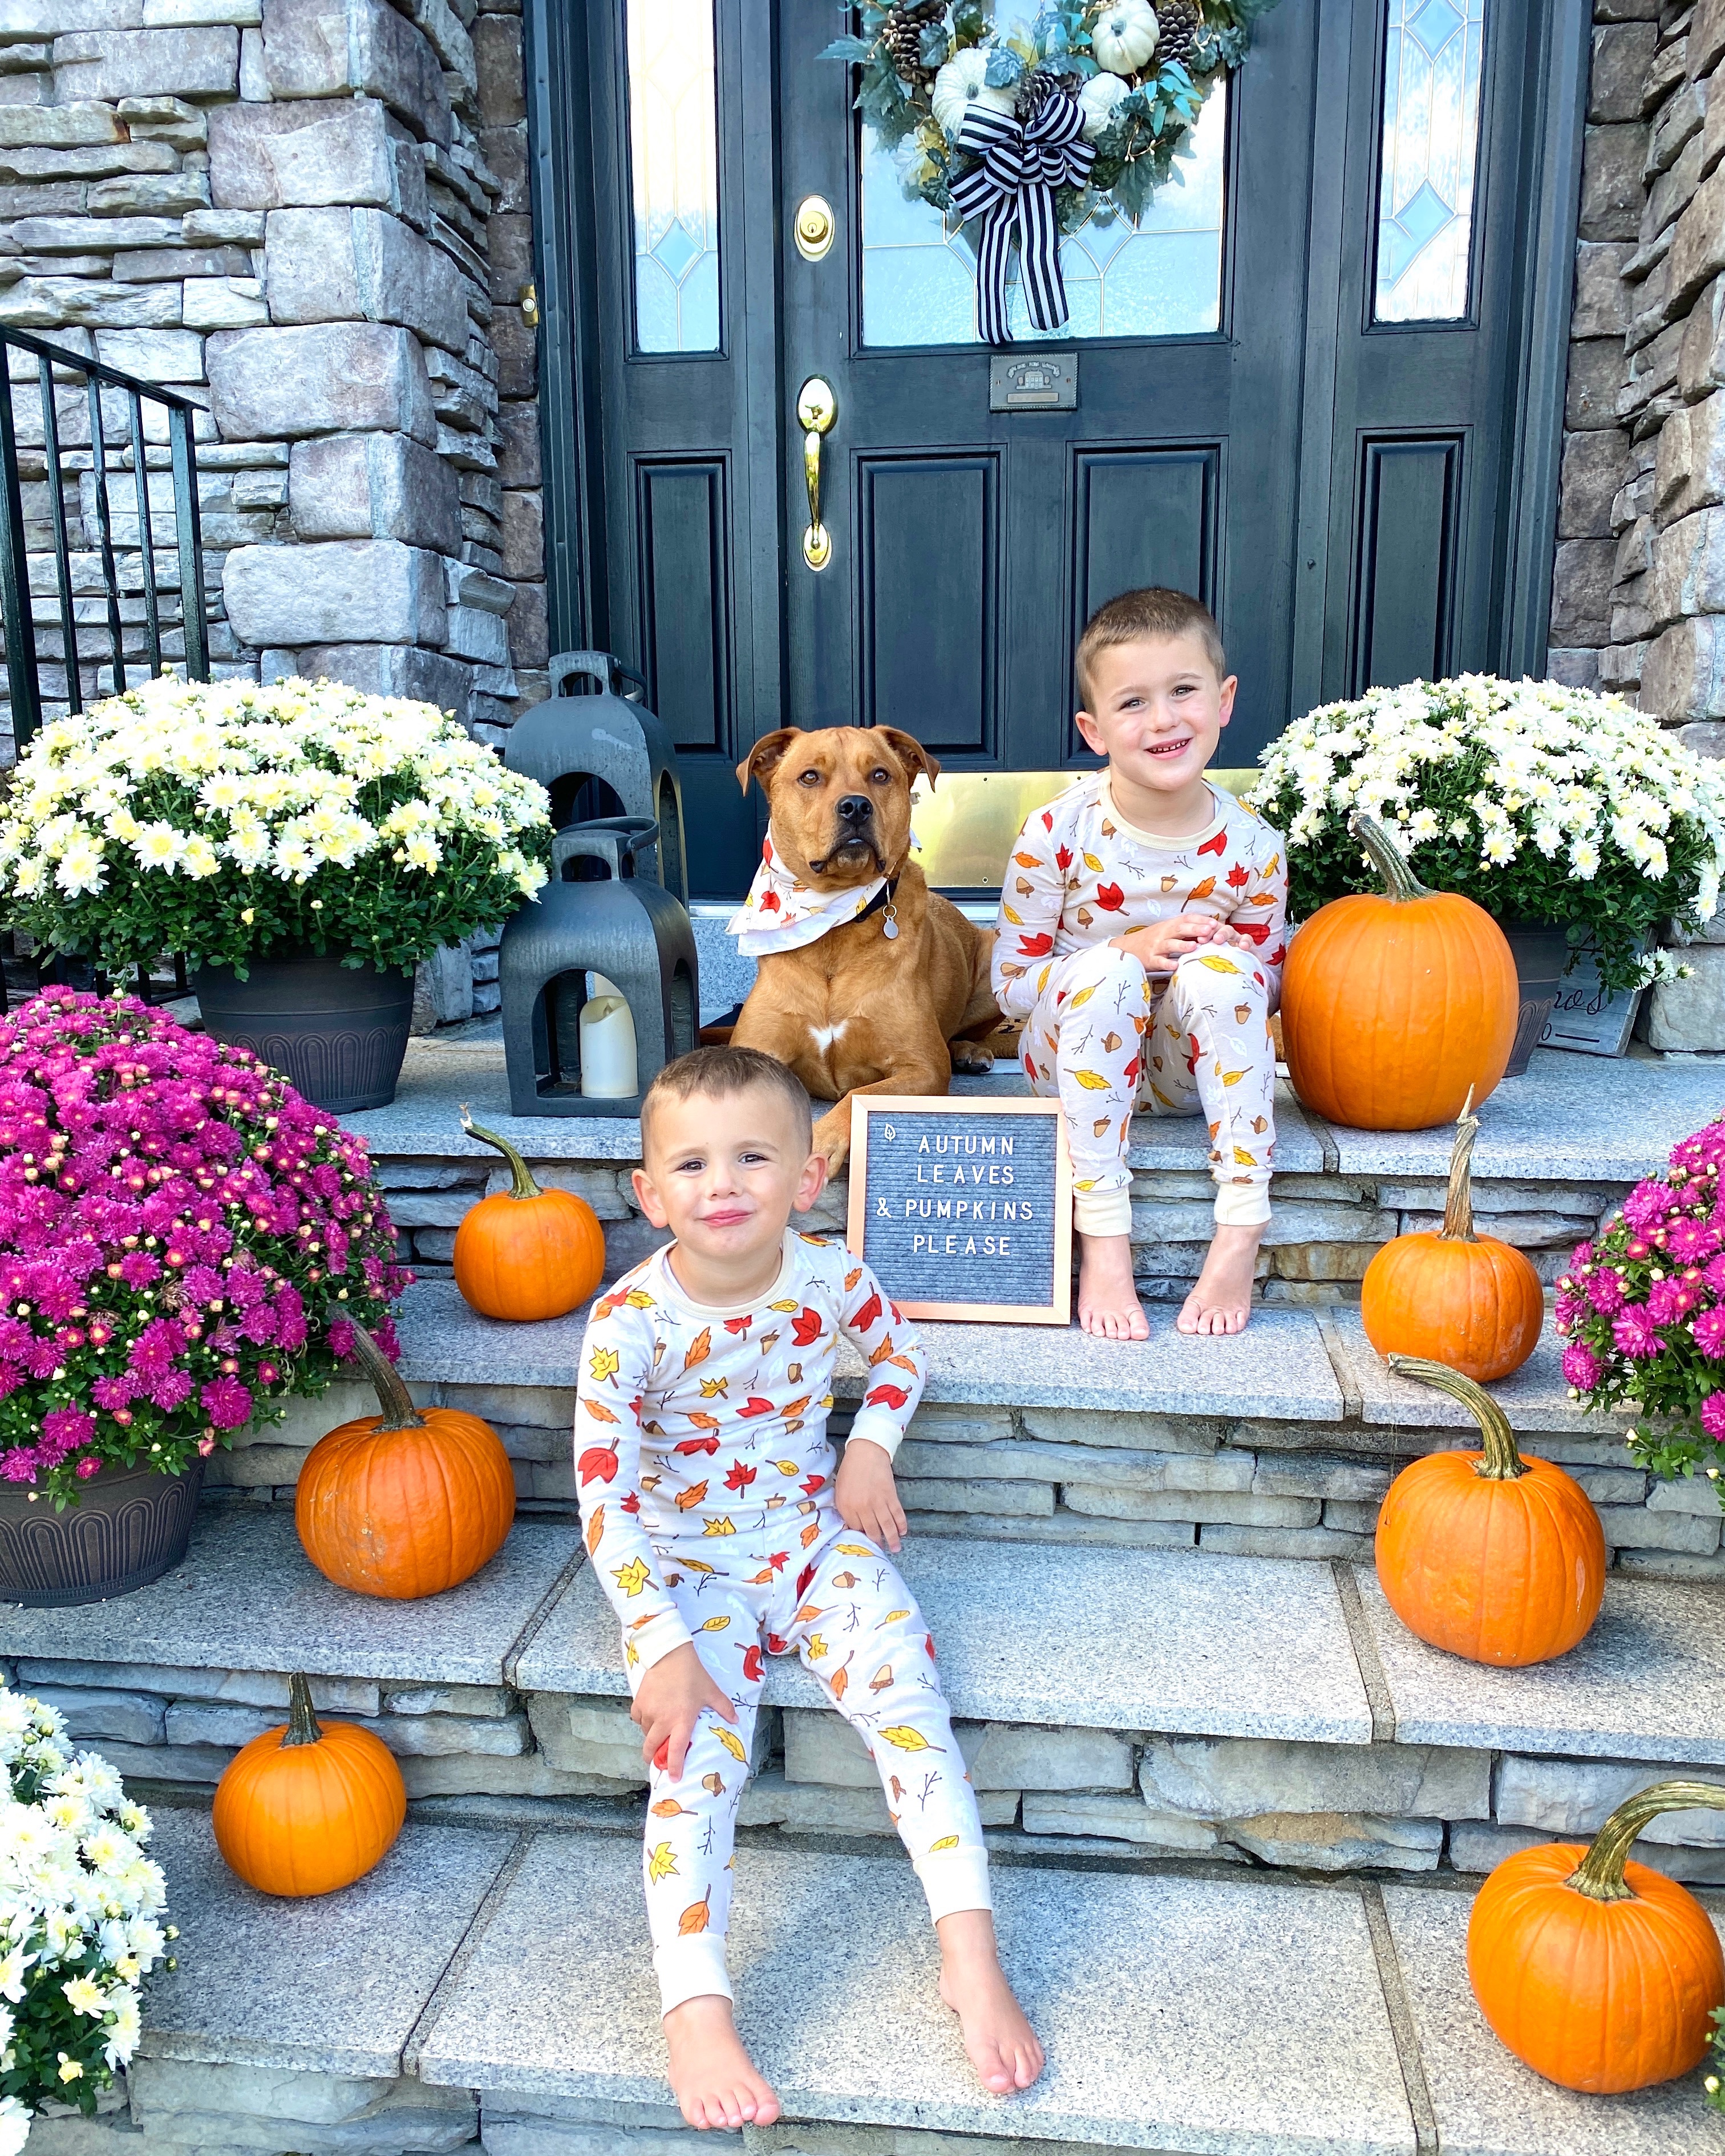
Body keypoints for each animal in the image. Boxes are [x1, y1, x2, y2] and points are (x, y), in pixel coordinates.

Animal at [724, 720, 996, 1164]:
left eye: (880, 775)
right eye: (810, 777)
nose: (855, 806)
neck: (834, 928)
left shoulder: (921, 1067)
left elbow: (857, 1095)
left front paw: (822, 1143)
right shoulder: (752, 1048)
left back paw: (969, 1050)